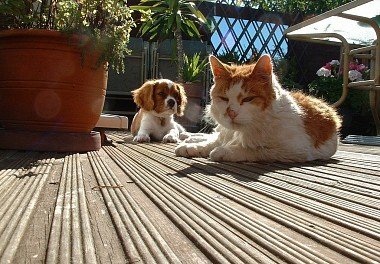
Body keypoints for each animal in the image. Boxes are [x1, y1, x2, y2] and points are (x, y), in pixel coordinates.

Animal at [177, 54, 342, 162]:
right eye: (224, 98)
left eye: (248, 99)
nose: (231, 112)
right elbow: (211, 143)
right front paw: (194, 147)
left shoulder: (295, 150)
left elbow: (257, 150)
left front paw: (225, 151)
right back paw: (191, 138)